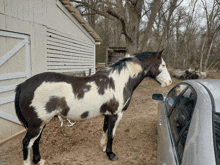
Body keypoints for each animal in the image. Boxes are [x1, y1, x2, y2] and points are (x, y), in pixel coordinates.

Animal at [14, 51, 172, 164]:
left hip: (40, 123)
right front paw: (110, 154)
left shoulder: (108, 114)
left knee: (36, 141)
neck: (119, 81)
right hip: (36, 124)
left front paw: (103, 147)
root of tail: (22, 85)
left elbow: (105, 129)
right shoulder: (116, 114)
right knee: (27, 143)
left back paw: (39, 160)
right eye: (163, 65)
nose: (169, 82)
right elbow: (111, 133)